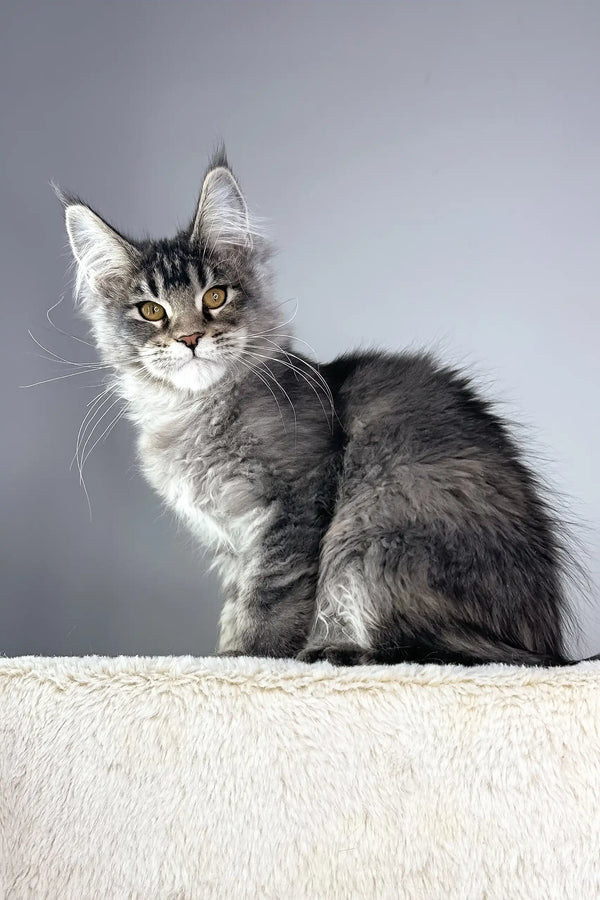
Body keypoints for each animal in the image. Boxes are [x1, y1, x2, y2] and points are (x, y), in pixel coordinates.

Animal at [59, 151, 596, 664]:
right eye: (151, 310)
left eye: (215, 296)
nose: (190, 338)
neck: (193, 414)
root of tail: (550, 646)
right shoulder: (229, 541)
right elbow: (236, 601)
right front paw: (225, 652)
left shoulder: (295, 500)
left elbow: (269, 596)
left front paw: (249, 656)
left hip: (375, 533)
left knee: (435, 648)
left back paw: (334, 651)